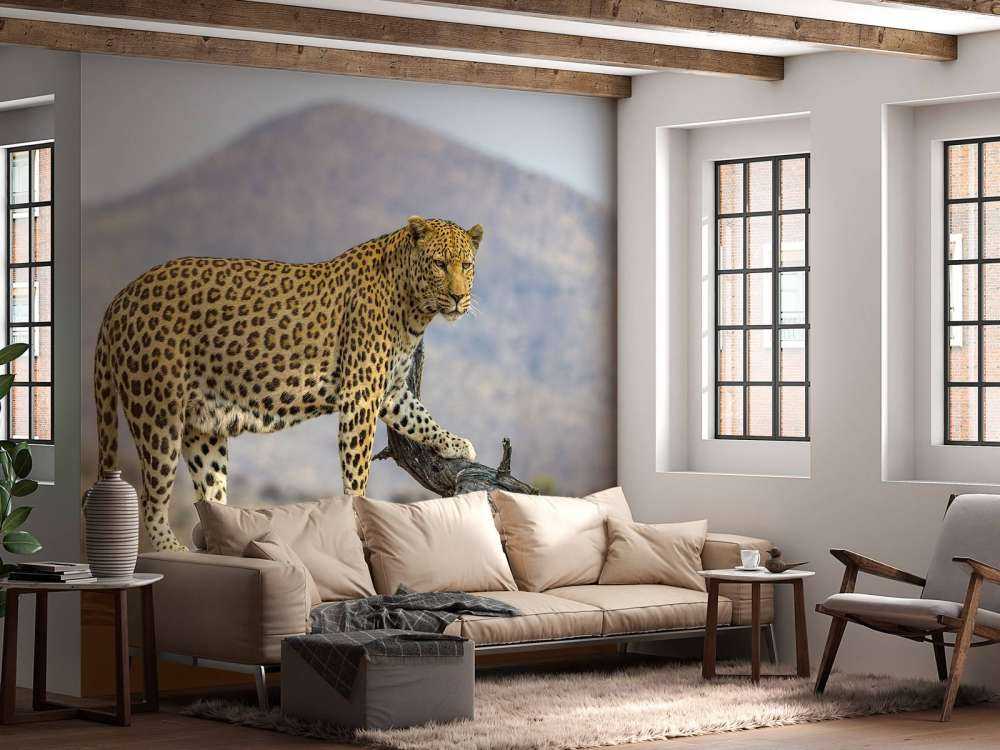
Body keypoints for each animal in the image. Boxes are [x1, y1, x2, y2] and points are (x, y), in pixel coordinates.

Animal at [94, 216, 482, 551]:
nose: (458, 297)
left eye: (466, 265)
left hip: (203, 428)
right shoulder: (360, 394)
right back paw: (175, 550)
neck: (414, 309)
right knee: (151, 499)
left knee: (210, 497)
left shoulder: (390, 392)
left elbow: (420, 418)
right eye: (439, 264)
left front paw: (456, 444)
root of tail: (120, 296)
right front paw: (357, 512)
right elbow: (357, 470)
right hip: (157, 412)